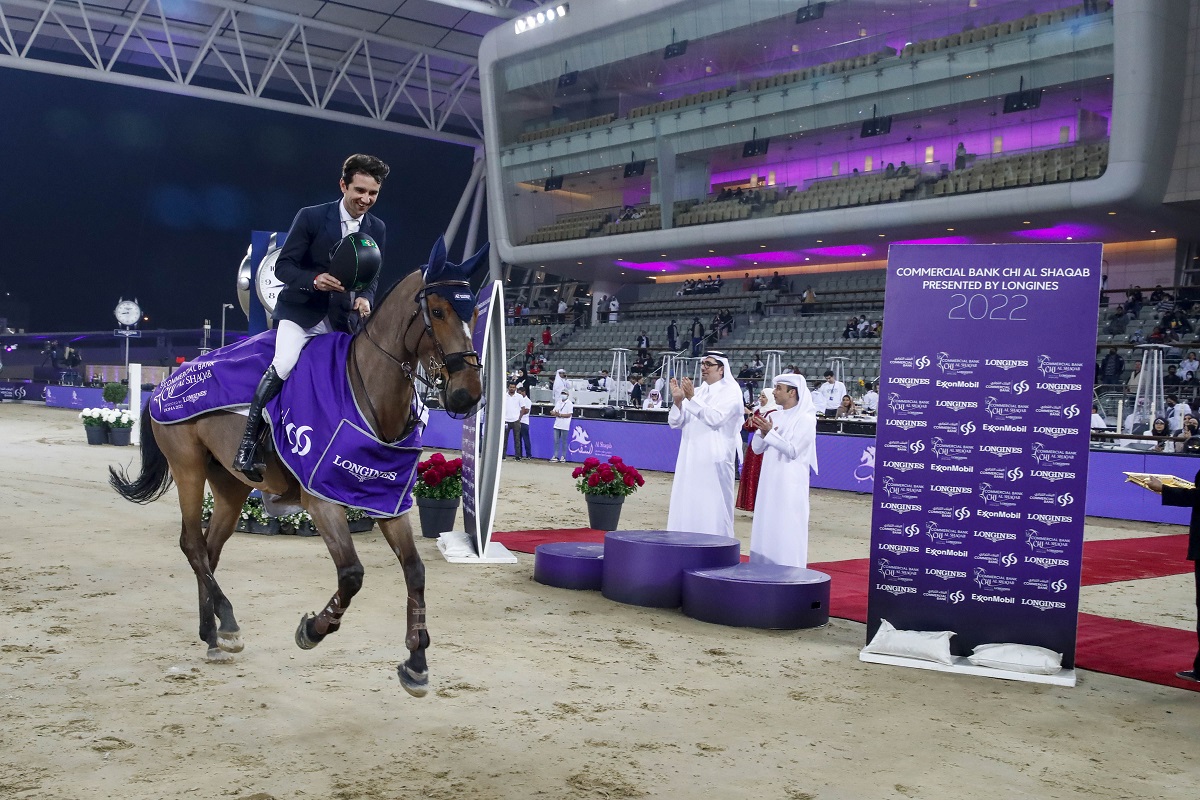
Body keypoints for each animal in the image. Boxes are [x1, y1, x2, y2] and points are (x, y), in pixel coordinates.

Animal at [110, 237, 484, 695]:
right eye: (438, 311)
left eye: (475, 311)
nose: (468, 394)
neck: (366, 391)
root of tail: (165, 383)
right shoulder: (321, 500)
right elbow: (352, 574)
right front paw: (314, 630)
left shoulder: (385, 499)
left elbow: (415, 571)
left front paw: (416, 662)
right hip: (189, 468)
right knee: (193, 545)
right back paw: (227, 621)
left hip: (231, 486)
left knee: (210, 550)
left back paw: (213, 634)